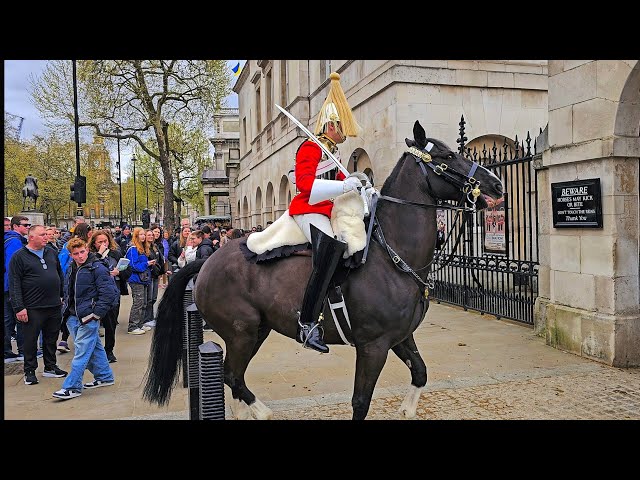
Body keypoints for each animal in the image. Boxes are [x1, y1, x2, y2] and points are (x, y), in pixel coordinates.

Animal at [144, 121, 504, 420]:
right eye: (446, 155)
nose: (497, 184)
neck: (393, 256)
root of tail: (208, 260)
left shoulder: (400, 337)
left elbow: (420, 373)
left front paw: (407, 409)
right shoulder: (373, 346)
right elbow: (361, 401)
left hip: (257, 330)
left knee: (232, 376)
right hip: (241, 332)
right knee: (232, 375)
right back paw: (262, 410)